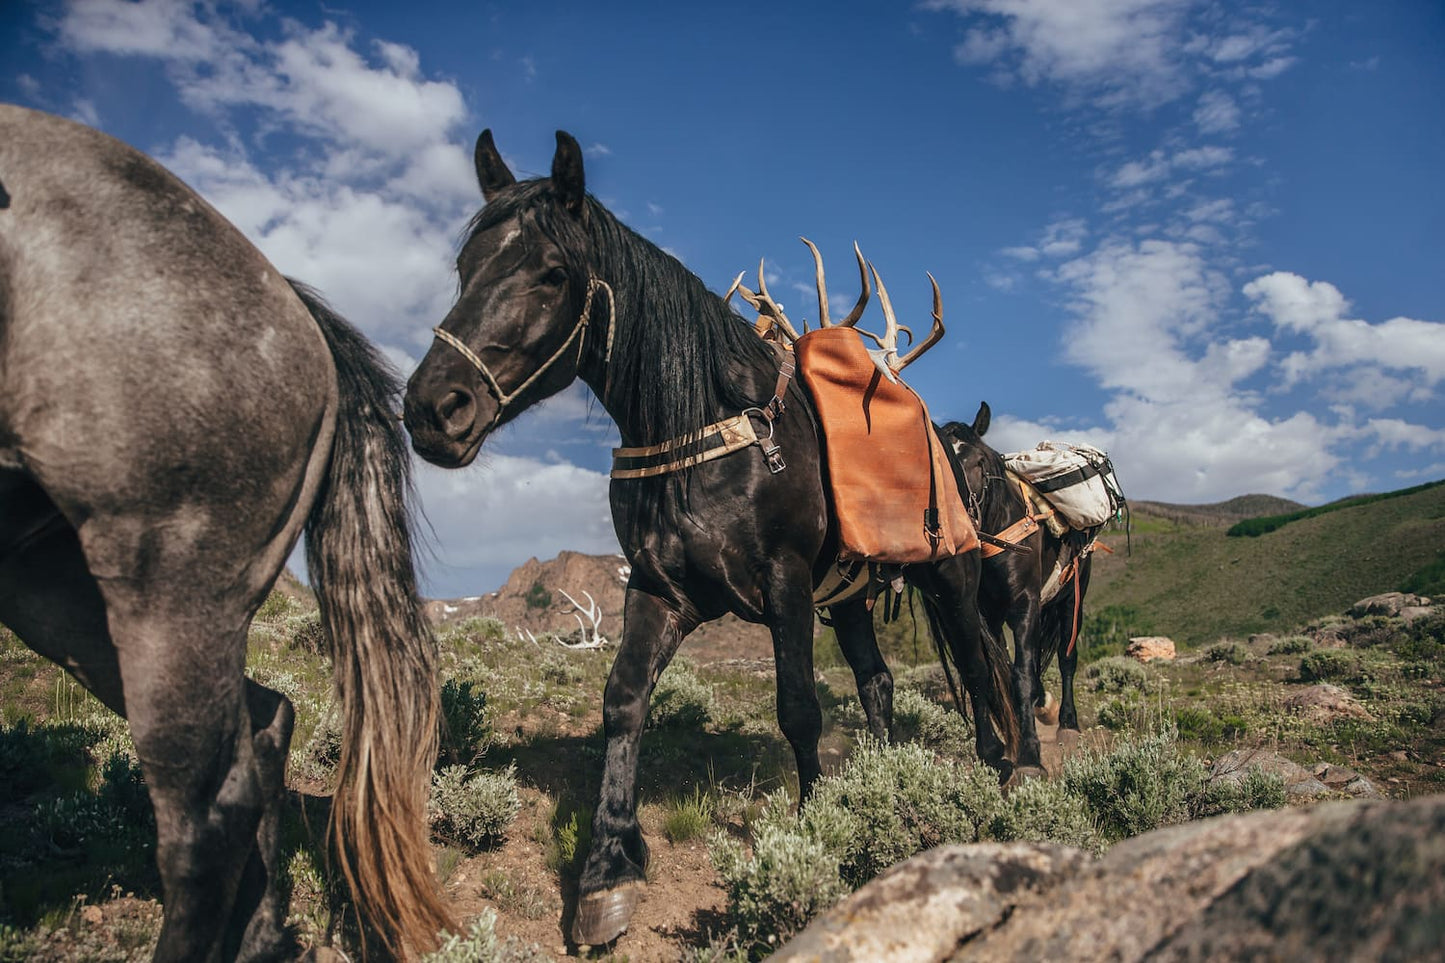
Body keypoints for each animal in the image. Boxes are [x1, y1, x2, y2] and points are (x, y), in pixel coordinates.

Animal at [0, 105, 450, 961]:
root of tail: (295, 309)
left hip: (165, 586)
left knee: (209, 813)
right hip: (60, 596)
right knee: (265, 722)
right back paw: (259, 933)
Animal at [403, 129, 1019, 947]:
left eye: (553, 271)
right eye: (464, 267)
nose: (432, 407)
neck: (704, 431)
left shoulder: (784, 583)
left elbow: (798, 708)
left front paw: (815, 830)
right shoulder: (660, 589)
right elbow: (623, 699)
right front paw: (607, 868)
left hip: (949, 571)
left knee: (978, 668)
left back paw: (996, 773)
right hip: (849, 597)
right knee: (878, 680)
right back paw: (886, 778)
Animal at [942, 402, 1102, 733]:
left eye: (979, 462)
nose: (960, 518)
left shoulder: (1025, 602)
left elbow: (1024, 671)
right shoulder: (990, 614)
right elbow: (1005, 665)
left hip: (1072, 599)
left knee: (1067, 658)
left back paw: (1067, 720)